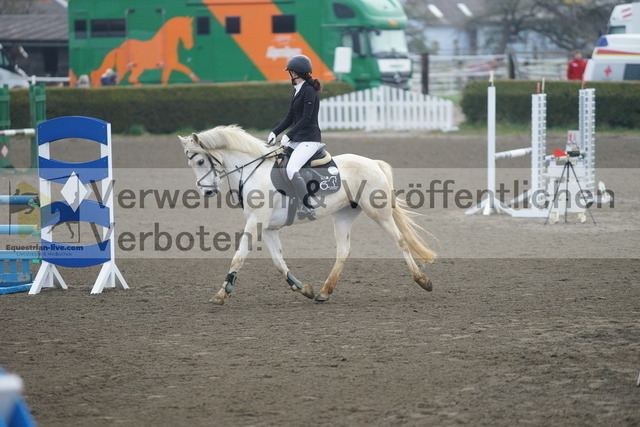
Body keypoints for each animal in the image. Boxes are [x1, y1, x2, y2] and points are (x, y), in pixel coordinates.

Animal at [178, 125, 438, 306]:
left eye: (200, 161)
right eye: (192, 163)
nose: (207, 192)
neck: (252, 171)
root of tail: (373, 163)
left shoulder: (256, 222)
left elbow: (239, 256)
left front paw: (221, 293)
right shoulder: (267, 227)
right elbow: (278, 262)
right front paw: (304, 289)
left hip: (378, 212)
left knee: (400, 241)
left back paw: (423, 281)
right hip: (343, 215)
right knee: (344, 251)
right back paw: (323, 292)